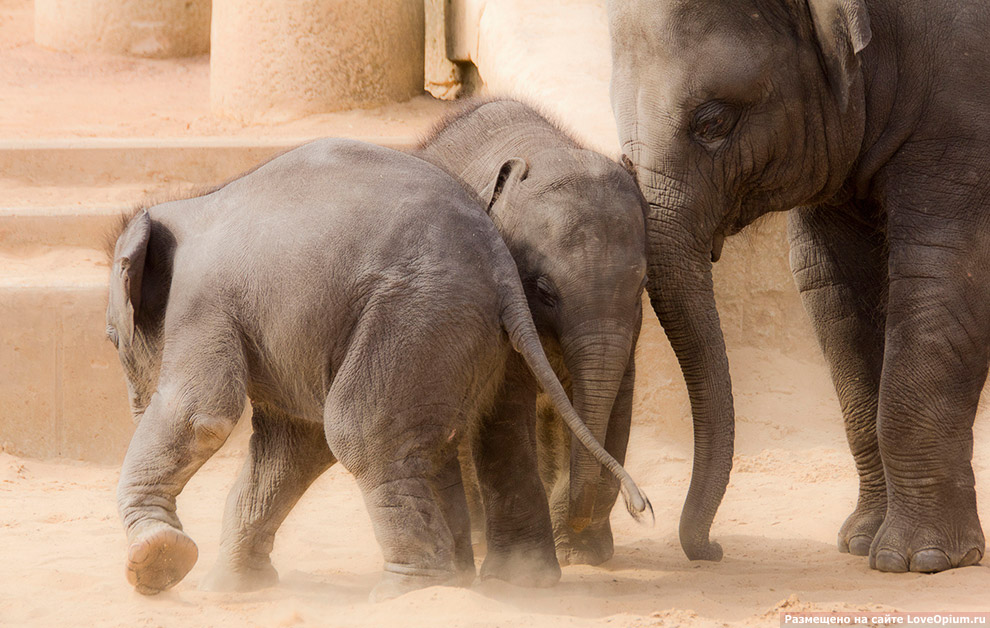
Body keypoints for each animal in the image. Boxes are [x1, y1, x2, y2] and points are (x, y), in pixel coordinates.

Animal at [108, 140, 652, 600]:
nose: (134, 410)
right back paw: (456, 582)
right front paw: (230, 590)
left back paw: (405, 592)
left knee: (362, 432)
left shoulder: (202, 303)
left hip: (415, 313)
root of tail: (501, 267)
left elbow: (205, 415)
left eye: (112, 339)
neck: (187, 205)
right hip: (454, 336)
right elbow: (292, 442)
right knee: (430, 441)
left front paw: (157, 561)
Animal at [612, 0, 990, 572]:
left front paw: (917, 559)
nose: (713, 550)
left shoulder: (962, 104)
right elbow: (834, 288)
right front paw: (859, 542)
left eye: (712, 121)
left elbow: (943, 270)